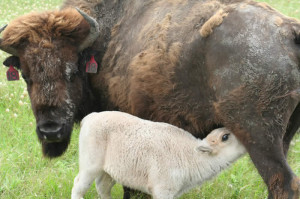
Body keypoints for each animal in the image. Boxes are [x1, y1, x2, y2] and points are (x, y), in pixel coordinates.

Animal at [71, 111, 246, 198]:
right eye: (225, 137)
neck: (190, 155)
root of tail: (90, 116)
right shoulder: (162, 190)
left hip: (108, 170)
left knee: (103, 187)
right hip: (90, 165)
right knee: (79, 185)